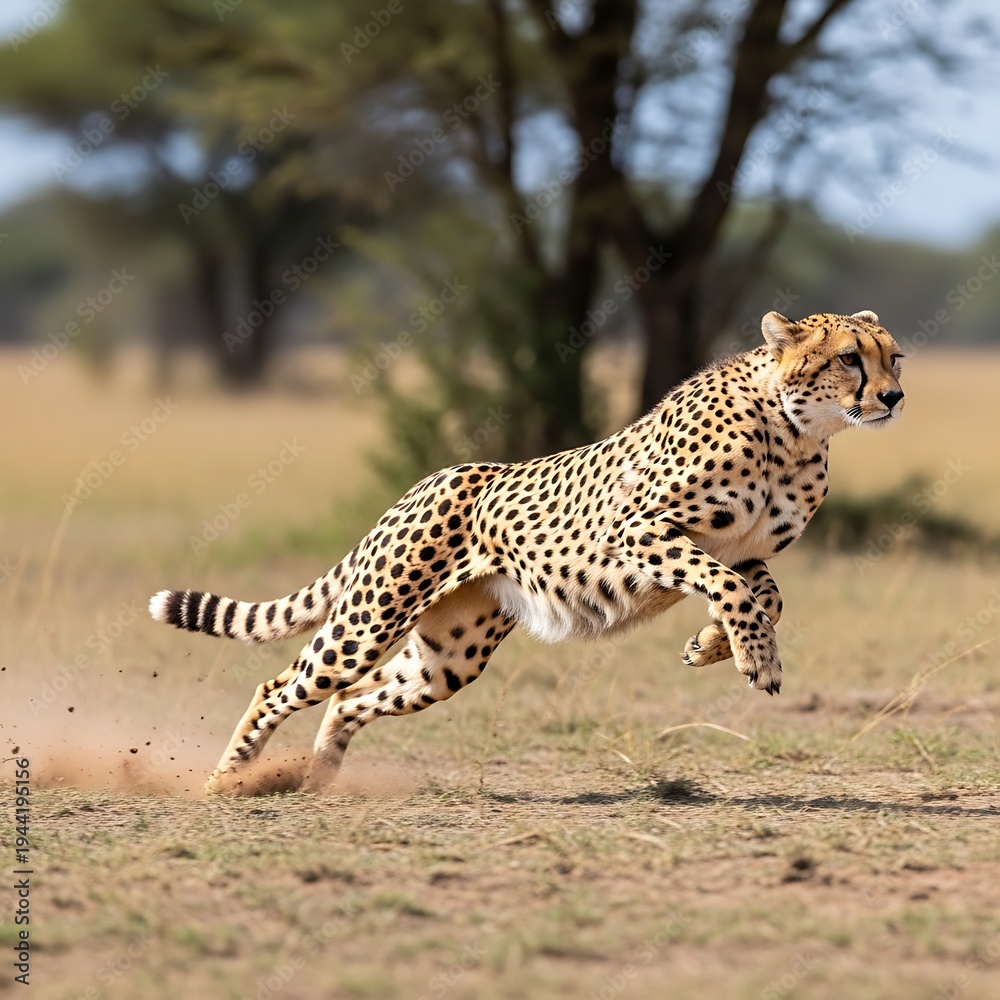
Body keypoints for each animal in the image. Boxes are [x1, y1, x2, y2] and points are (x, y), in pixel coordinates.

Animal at [149, 309, 904, 794]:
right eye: (848, 358)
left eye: (893, 356)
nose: (895, 396)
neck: (795, 432)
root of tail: (429, 479)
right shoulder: (637, 530)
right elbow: (732, 587)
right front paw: (753, 657)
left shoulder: (743, 551)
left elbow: (761, 592)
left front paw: (713, 646)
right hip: (370, 620)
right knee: (283, 685)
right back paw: (227, 779)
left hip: (448, 658)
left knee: (351, 699)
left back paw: (319, 778)